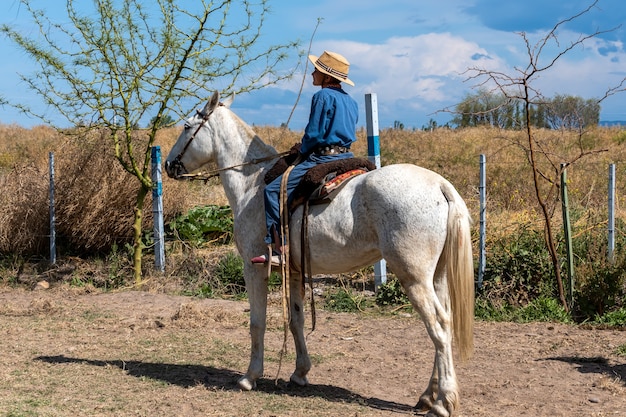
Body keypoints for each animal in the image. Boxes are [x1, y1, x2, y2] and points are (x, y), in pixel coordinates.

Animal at [163, 92, 470, 416]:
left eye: (187, 126)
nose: (169, 164)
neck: (253, 183)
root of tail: (440, 185)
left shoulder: (254, 267)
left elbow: (257, 322)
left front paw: (250, 376)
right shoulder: (295, 271)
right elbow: (296, 320)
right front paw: (300, 372)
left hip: (414, 278)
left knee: (439, 327)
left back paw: (443, 401)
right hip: (437, 276)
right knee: (444, 324)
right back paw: (427, 396)